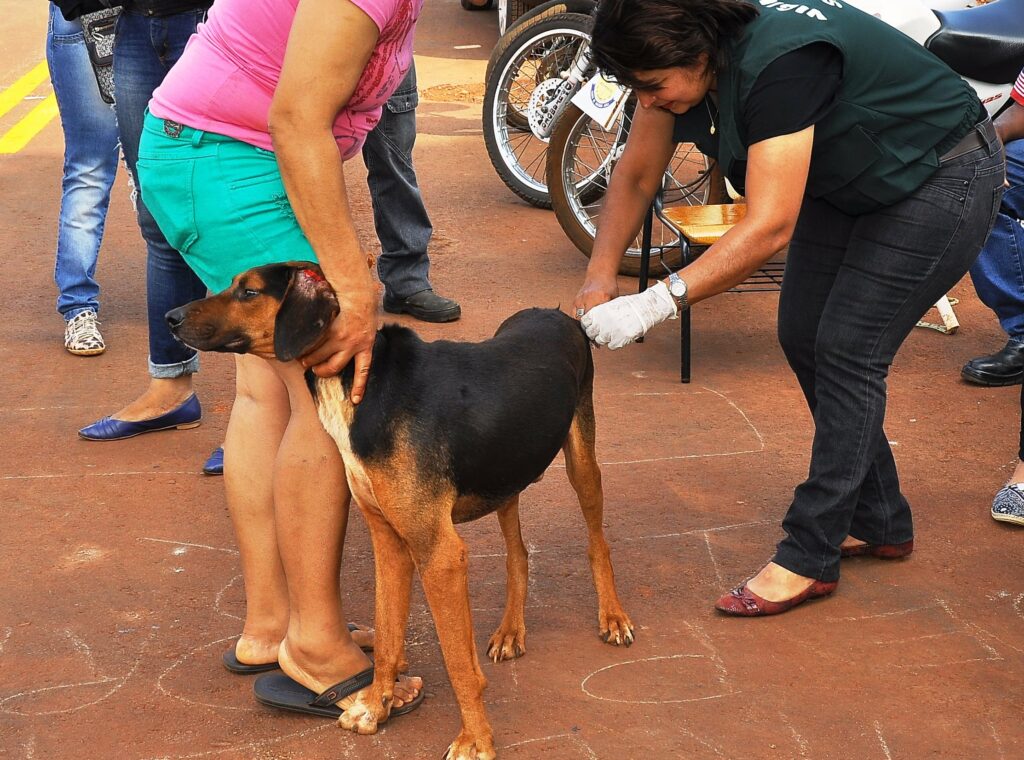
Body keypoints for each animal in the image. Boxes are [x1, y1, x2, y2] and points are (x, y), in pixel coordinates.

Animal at [165, 264, 630, 760]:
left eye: (249, 291)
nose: (171, 318)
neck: (359, 381)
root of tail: (559, 314)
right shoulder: (388, 538)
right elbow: (388, 635)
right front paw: (375, 704)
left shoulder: (439, 554)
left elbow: (457, 663)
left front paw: (475, 739)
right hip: (506, 471)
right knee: (518, 554)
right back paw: (510, 631)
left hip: (580, 461)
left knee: (598, 542)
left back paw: (613, 617)